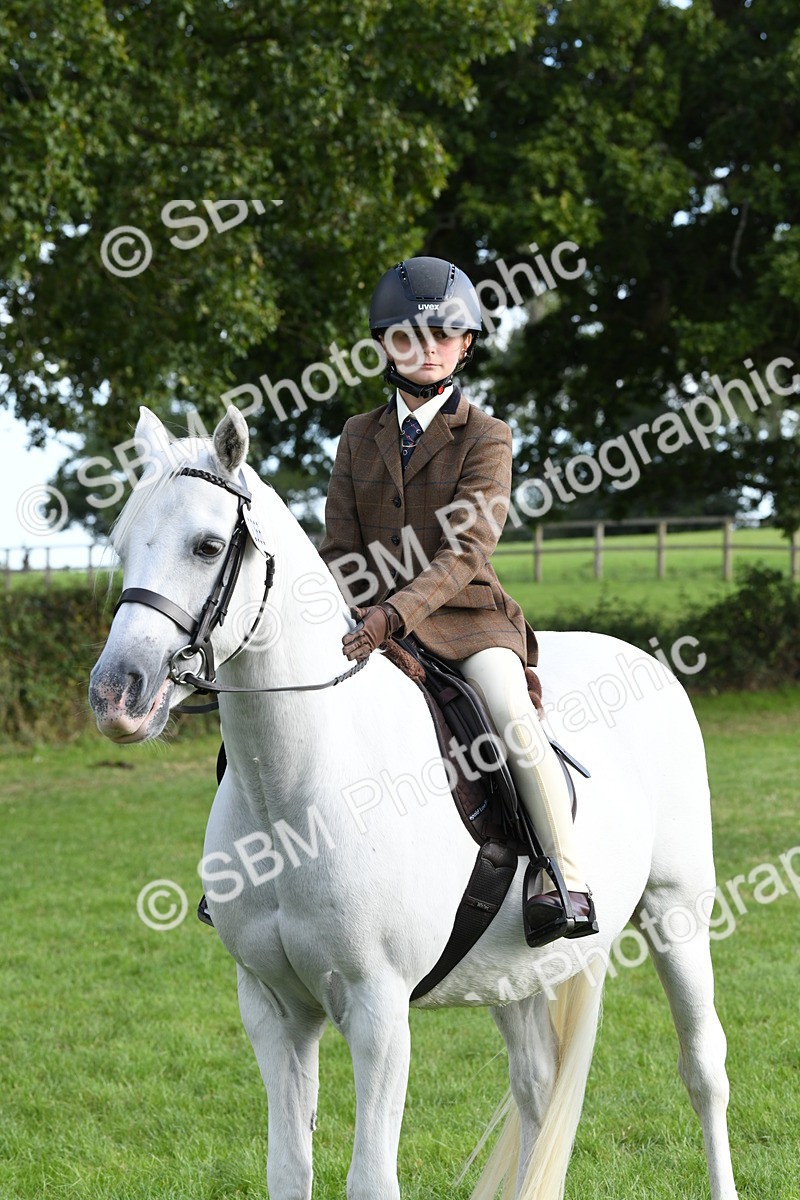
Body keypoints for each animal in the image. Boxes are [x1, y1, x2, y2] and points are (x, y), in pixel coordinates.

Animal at [89, 405, 739, 1200]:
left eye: (207, 546)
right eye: (122, 548)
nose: (116, 695)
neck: (293, 792)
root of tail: (643, 659)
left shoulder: (377, 1011)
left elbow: (371, 1179)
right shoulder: (273, 1010)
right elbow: (288, 1171)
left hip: (678, 908)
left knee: (703, 1068)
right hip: (516, 970)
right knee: (535, 1087)